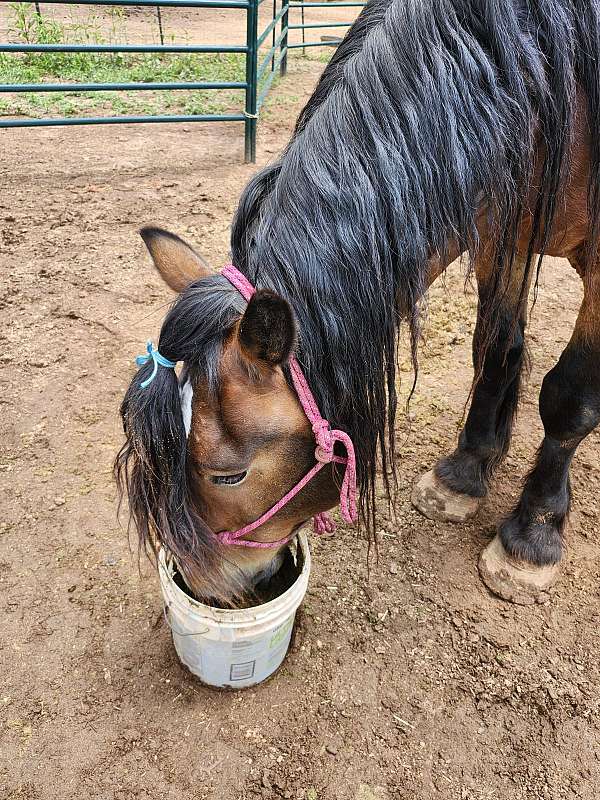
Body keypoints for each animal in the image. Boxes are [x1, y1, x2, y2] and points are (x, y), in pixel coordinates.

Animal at [116, 0, 600, 608]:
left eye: (228, 476)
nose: (207, 586)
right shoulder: (502, 224)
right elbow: (494, 350)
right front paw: (464, 474)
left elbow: (569, 398)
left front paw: (532, 537)